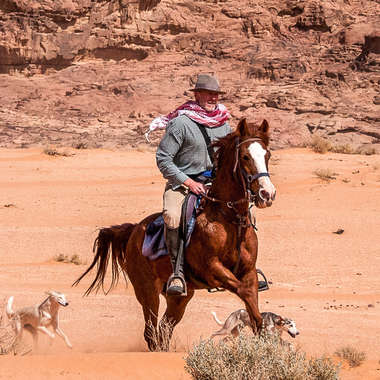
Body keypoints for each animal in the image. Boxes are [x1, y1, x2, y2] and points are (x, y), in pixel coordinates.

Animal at [73, 119, 276, 350]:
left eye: (267, 155)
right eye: (245, 156)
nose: (267, 194)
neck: (228, 219)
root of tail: (134, 231)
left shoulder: (249, 271)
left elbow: (252, 303)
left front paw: (265, 338)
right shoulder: (212, 268)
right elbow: (244, 292)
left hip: (179, 298)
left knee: (164, 328)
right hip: (147, 292)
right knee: (151, 331)